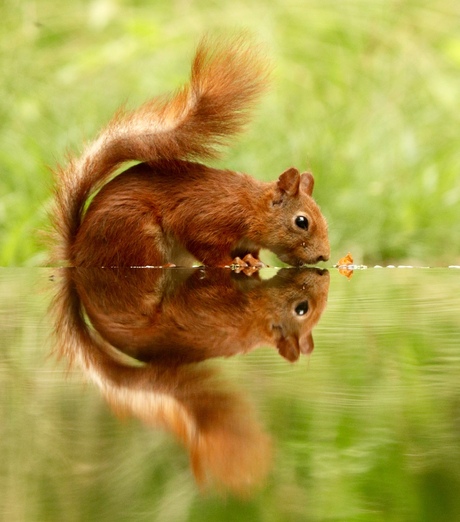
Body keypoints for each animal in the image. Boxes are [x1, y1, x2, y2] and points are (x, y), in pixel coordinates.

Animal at [52, 35, 328, 268]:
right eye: (301, 222)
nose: (324, 257)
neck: (250, 207)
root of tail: (78, 251)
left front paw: (251, 261)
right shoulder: (207, 221)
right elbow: (208, 249)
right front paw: (229, 264)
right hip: (136, 231)